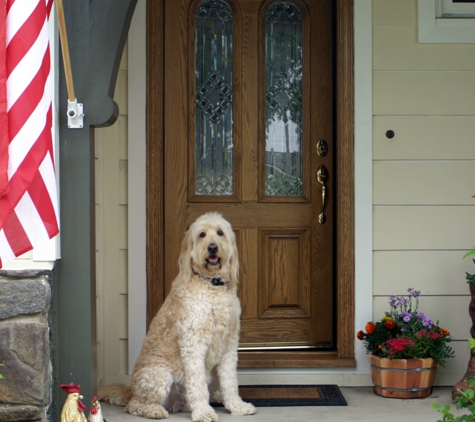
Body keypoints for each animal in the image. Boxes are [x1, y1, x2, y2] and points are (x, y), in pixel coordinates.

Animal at [97, 213, 258, 420]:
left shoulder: (229, 344)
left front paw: (237, 406)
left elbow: (230, 381)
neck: (211, 285)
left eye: (220, 232)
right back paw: (155, 410)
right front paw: (203, 412)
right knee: (134, 406)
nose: (212, 247)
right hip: (159, 376)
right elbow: (197, 383)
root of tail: (131, 391)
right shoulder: (193, 342)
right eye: (202, 234)